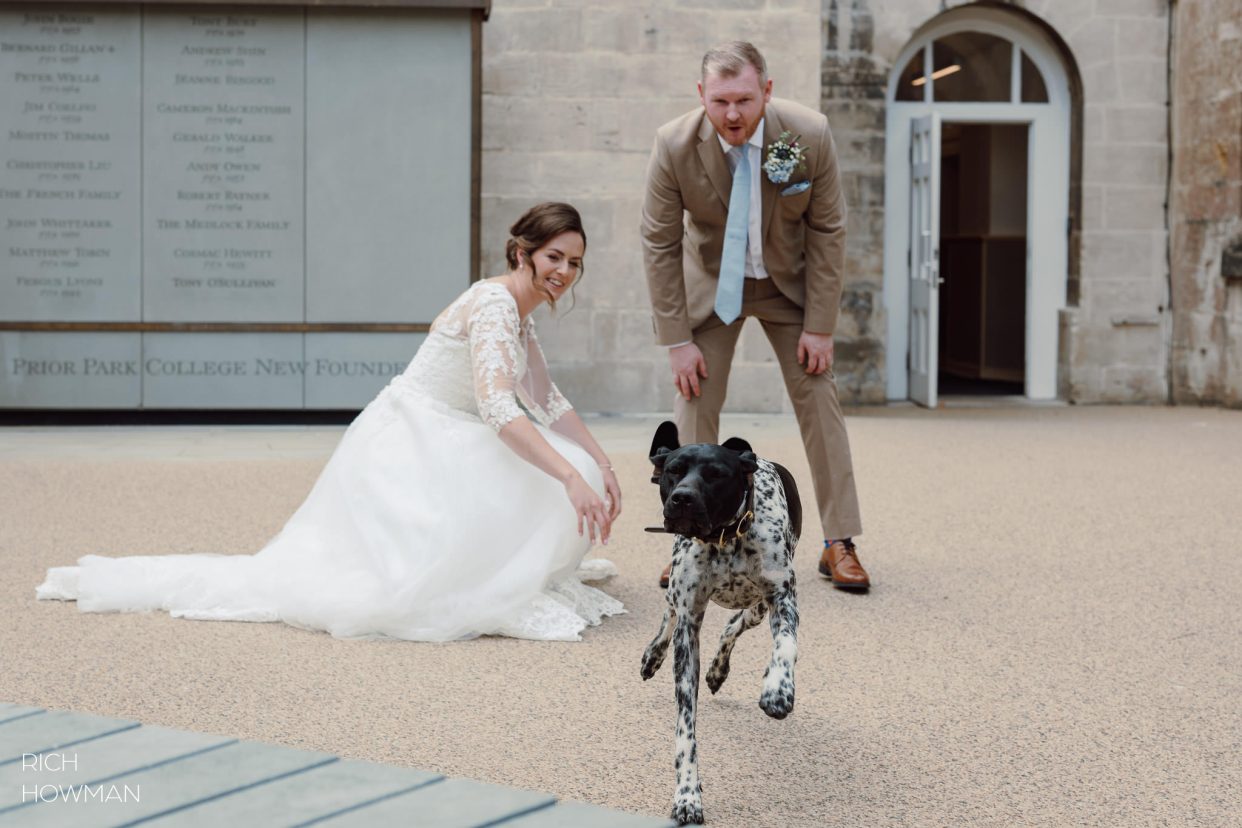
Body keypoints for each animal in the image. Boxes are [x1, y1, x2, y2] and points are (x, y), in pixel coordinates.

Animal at [640, 424, 804, 824]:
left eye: (716, 474)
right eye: (674, 470)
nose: (682, 498)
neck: (724, 537)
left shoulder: (782, 598)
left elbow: (786, 646)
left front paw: (778, 690)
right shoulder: (689, 627)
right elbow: (685, 731)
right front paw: (687, 796)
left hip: (758, 606)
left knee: (733, 625)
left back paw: (719, 669)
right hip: (679, 590)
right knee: (669, 613)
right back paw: (653, 655)